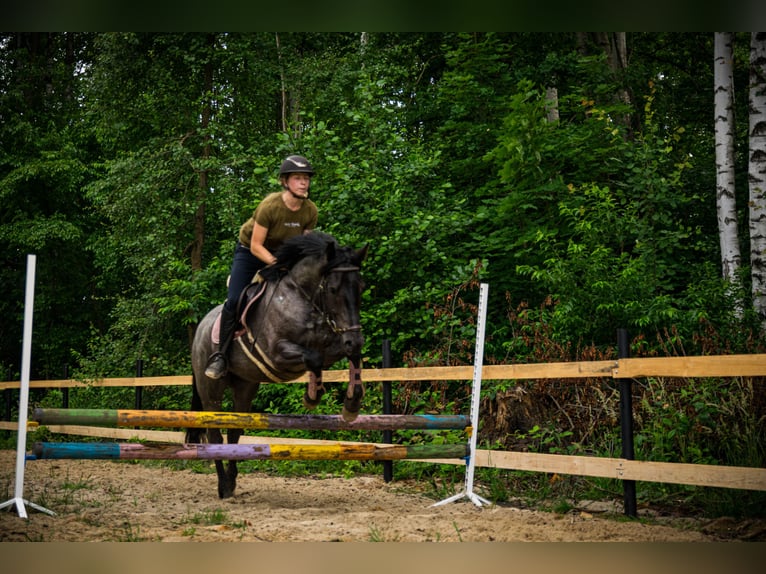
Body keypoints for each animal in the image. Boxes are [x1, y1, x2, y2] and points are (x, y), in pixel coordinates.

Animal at [188, 233, 368, 500]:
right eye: (333, 289)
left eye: (360, 288)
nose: (355, 339)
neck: (304, 298)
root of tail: (200, 327)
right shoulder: (277, 354)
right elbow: (313, 359)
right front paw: (312, 396)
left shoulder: (334, 345)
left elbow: (350, 357)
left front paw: (351, 405)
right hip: (211, 389)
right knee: (214, 434)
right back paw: (222, 486)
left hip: (245, 386)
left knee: (235, 432)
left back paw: (230, 482)